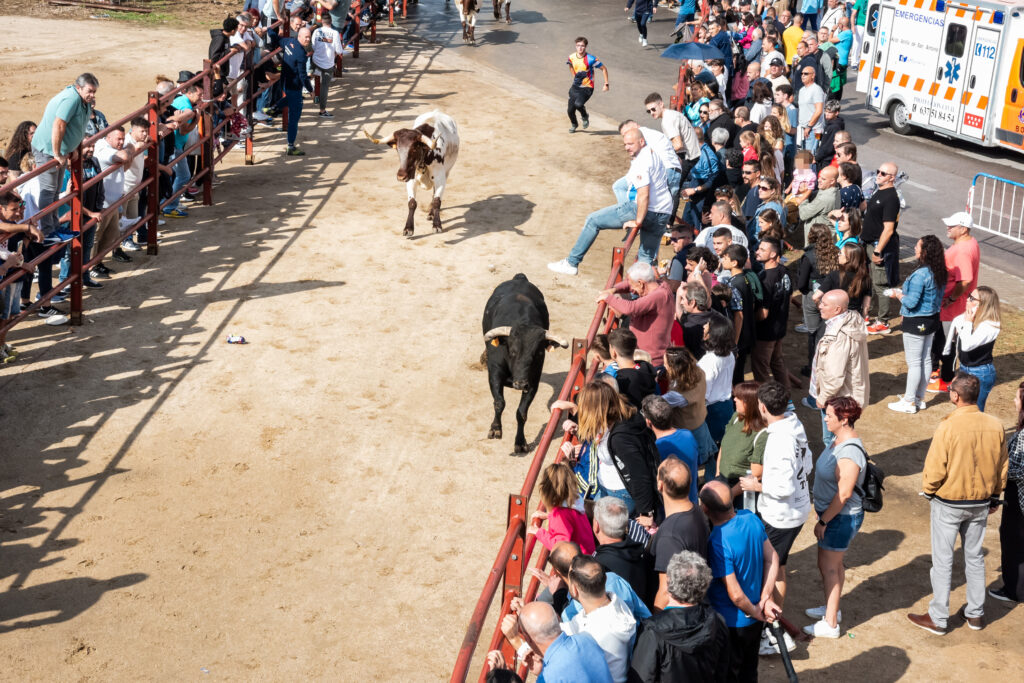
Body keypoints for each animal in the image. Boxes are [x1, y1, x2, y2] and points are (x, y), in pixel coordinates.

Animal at [481, 272, 569, 454]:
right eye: (513, 351)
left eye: (538, 354)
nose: (520, 384)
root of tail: (520, 278)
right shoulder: (494, 374)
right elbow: (499, 402)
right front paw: (495, 429)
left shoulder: (533, 382)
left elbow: (521, 413)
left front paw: (520, 442)